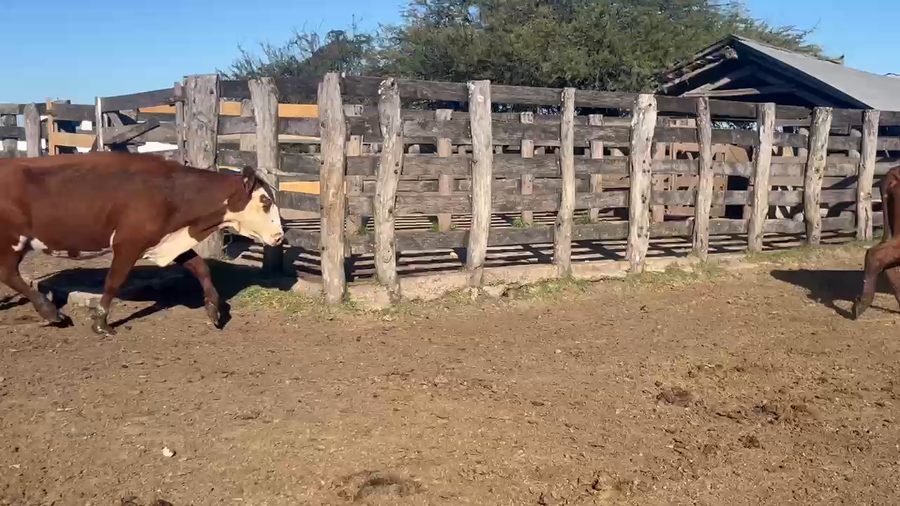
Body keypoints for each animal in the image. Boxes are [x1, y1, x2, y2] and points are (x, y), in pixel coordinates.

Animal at [0, 151, 284, 336]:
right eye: (266, 201)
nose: (280, 236)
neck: (171, 193)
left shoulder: (167, 239)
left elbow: (200, 267)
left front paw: (213, 309)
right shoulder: (128, 243)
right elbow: (113, 281)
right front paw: (101, 323)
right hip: (12, 241)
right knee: (9, 274)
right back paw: (50, 311)